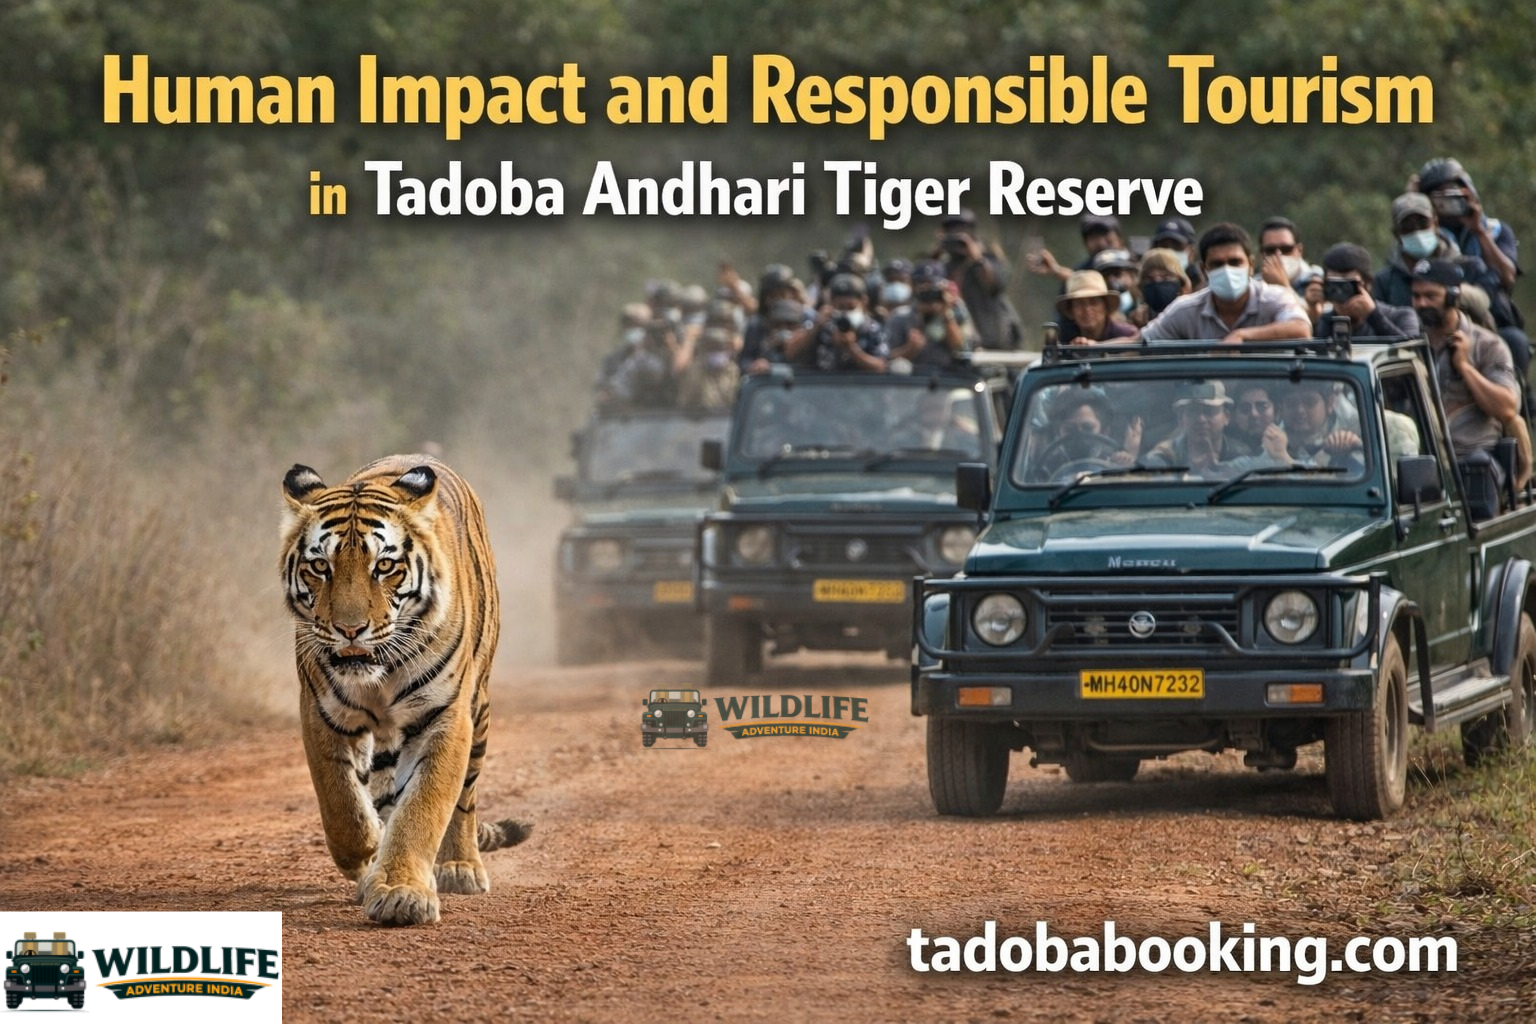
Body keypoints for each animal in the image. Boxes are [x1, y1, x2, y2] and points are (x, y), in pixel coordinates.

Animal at [280, 454, 530, 926]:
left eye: (384, 567)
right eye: (320, 567)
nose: (350, 630)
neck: (379, 673)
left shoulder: (443, 718)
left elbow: (422, 808)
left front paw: (401, 893)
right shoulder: (320, 712)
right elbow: (341, 804)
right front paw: (368, 858)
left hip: (480, 711)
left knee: (465, 799)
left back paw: (460, 867)